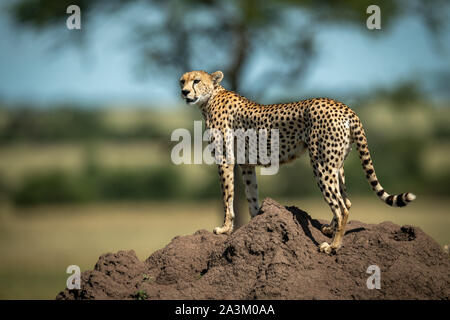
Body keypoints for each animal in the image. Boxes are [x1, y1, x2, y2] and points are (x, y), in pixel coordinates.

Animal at [178, 70, 416, 255]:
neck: (210, 97)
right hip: (336, 164)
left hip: (321, 163)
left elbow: (227, 196)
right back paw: (330, 231)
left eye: (196, 80)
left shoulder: (225, 159)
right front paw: (255, 224)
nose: (184, 92)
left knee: (341, 206)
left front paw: (225, 229)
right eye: (182, 81)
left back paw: (333, 246)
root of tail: (344, 106)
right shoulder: (246, 164)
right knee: (346, 200)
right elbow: (251, 195)